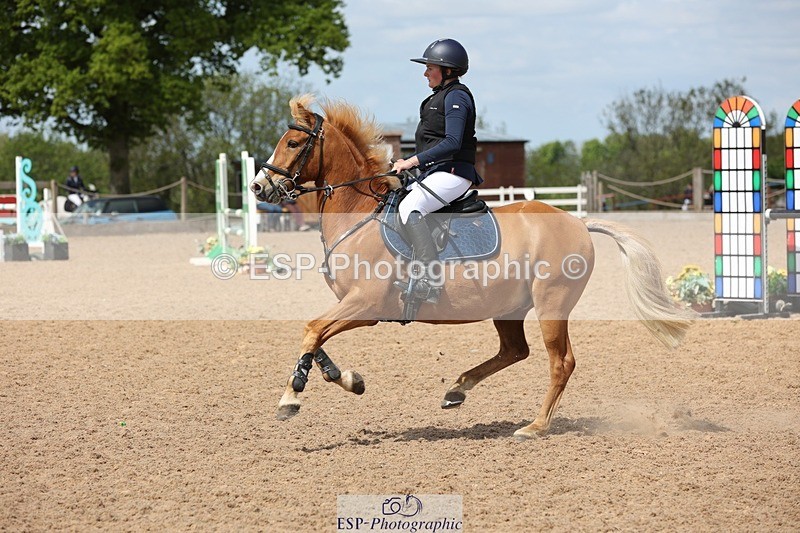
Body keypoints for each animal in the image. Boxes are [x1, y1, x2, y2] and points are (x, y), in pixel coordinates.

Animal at [250, 94, 694, 439]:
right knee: (515, 350)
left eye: (293, 142)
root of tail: (578, 221)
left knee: (560, 362)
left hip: (551, 303)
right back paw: (458, 390)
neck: (359, 215)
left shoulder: (366, 305)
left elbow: (311, 331)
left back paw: (535, 426)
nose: (258, 187)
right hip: (509, 307)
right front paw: (348, 380)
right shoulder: (350, 305)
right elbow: (317, 341)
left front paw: (290, 397)